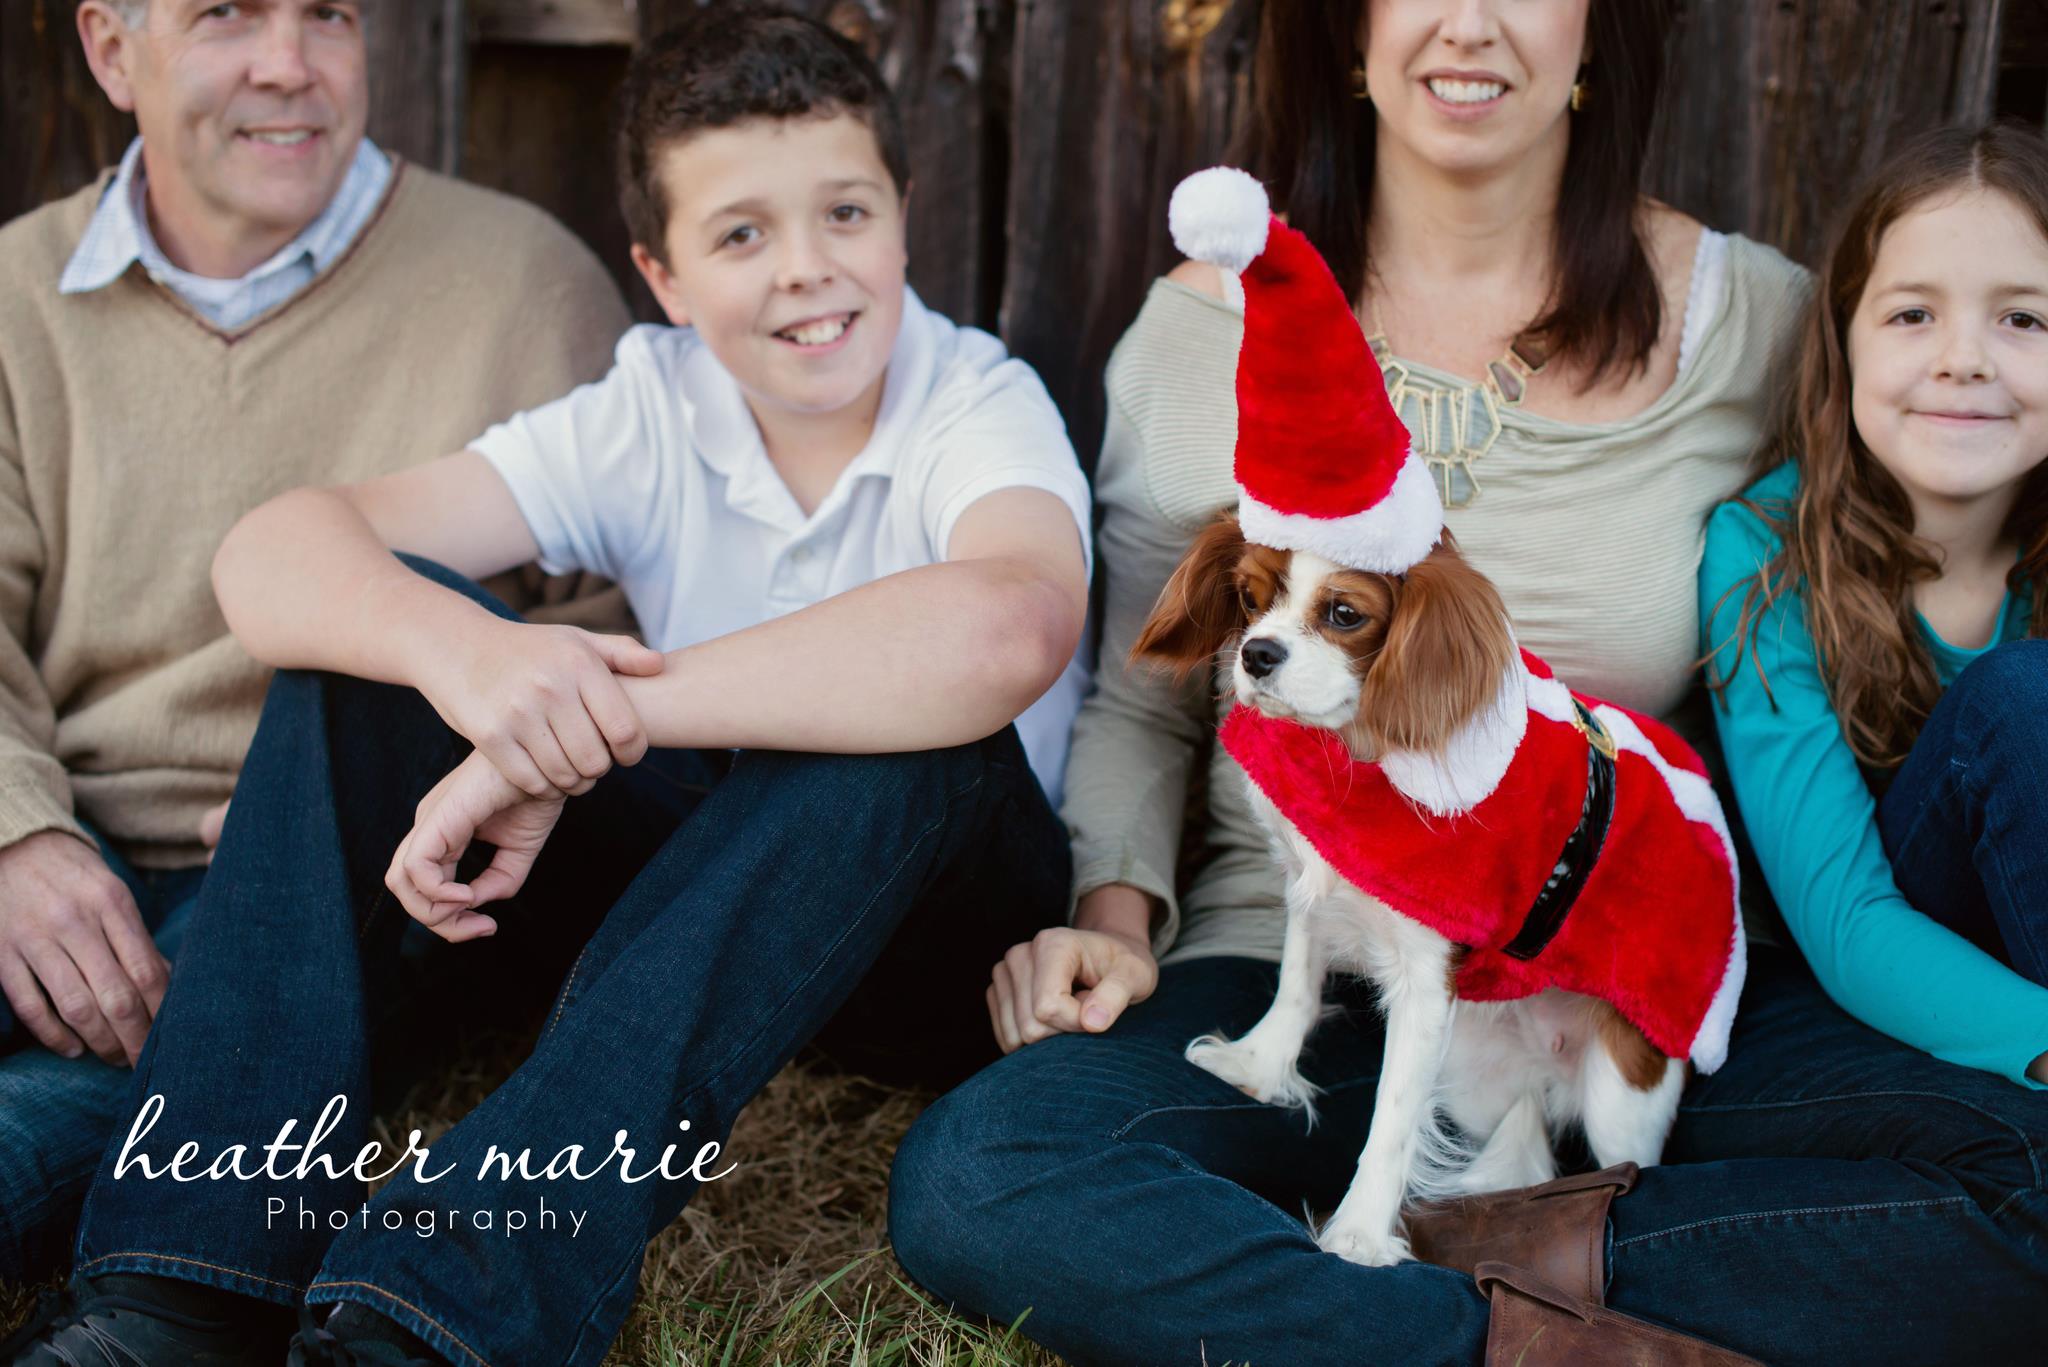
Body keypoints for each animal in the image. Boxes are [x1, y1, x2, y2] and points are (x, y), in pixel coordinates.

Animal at [1130, 513, 1744, 1269]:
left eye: (1344, 614)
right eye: (1248, 598)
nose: (1257, 653)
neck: (1355, 756)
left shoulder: (1427, 982)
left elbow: (1392, 1117)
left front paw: (1359, 1234)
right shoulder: (1313, 886)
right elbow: (1296, 984)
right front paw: (1259, 1065)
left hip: (1622, 1089)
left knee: (1625, 1161)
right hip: (1477, 1076)